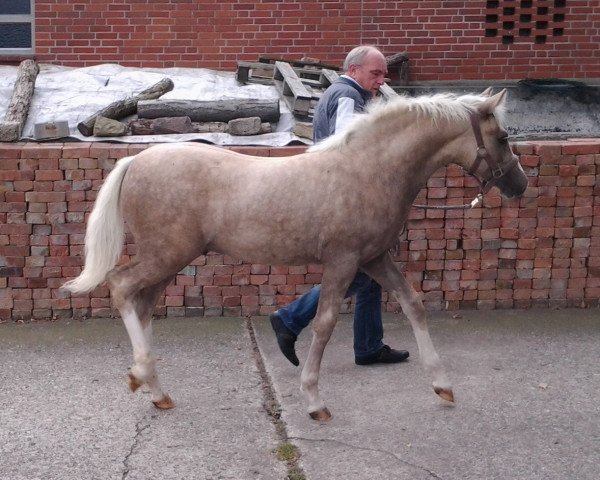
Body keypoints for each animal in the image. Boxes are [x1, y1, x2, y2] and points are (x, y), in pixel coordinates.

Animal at [63, 89, 528, 420]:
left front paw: (442, 385)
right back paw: (142, 374)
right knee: (121, 287)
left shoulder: (374, 259)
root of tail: (136, 161)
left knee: (142, 306)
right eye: (503, 137)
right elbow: (323, 324)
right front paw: (314, 401)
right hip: (166, 255)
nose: (520, 184)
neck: (368, 170)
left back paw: (156, 390)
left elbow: (413, 305)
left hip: (167, 260)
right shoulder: (343, 261)